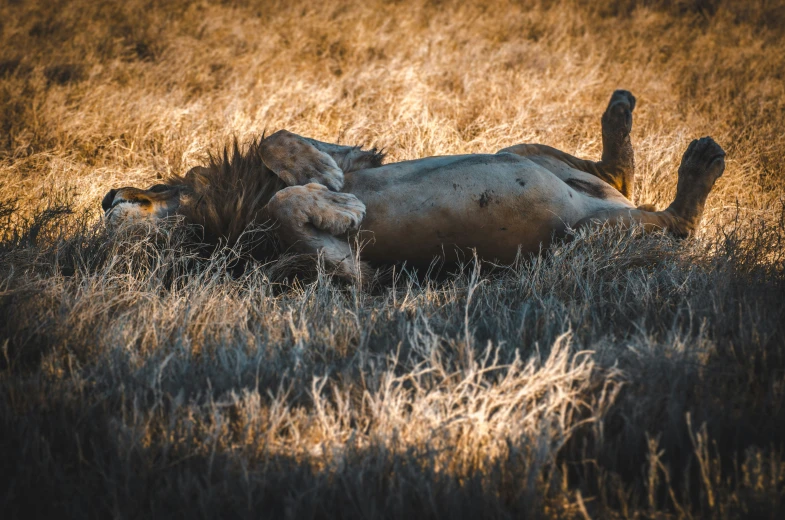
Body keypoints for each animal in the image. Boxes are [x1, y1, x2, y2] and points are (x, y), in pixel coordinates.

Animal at [101, 90, 724, 278]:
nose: (105, 197)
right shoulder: (348, 276)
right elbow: (284, 205)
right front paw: (342, 208)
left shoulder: (352, 156)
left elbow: (277, 141)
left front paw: (326, 181)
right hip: (586, 239)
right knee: (676, 224)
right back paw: (703, 163)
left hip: (522, 151)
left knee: (617, 173)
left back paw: (625, 112)